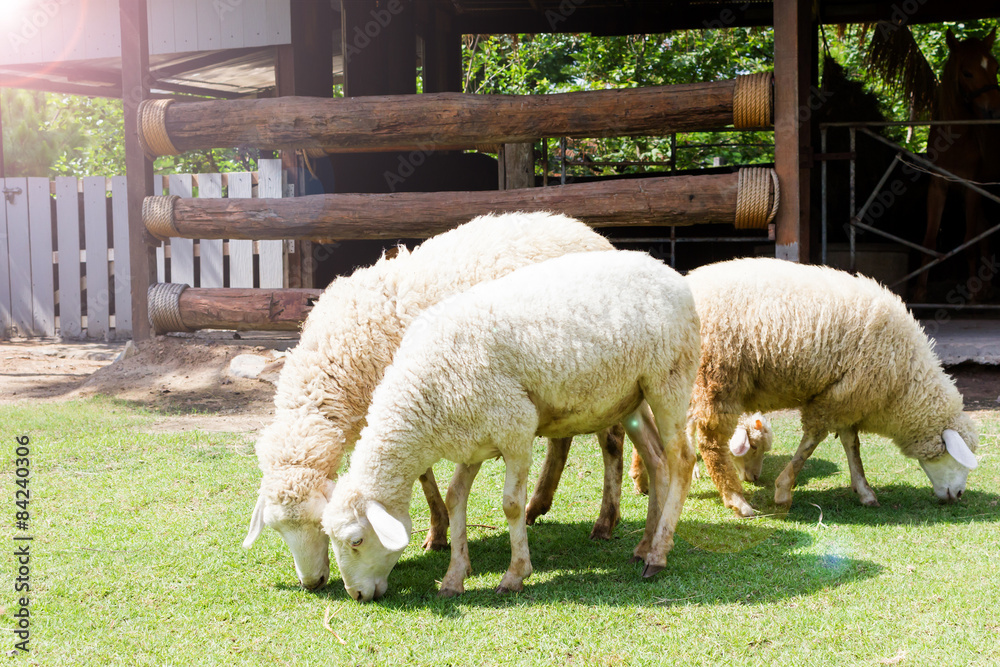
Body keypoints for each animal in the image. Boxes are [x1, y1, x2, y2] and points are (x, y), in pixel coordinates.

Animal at [242, 212, 622, 590]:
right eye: (278, 529)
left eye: (317, 524)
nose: (312, 582)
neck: (342, 356)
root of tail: (583, 229)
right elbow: (426, 476)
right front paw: (439, 530)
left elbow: (424, 474)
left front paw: (439, 532)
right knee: (562, 439)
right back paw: (538, 504)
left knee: (611, 441)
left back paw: (604, 521)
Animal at [321, 250, 701, 601]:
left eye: (356, 540)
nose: (356, 595)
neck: (424, 394)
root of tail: (669, 271)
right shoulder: (472, 438)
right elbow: (455, 497)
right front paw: (454, 576)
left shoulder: (515, 428)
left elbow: (511, 505)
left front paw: (515, 574)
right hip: (633, 396)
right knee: (657, 460)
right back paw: (645, 544)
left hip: (669, 379)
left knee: (682, 459)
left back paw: (657, 555)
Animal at [684, 257, 979, 517]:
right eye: (953, 456)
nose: (959, 494)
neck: (903, 381)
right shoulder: (835, 399)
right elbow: (810, 443)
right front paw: (783, 491)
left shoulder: (848, 398)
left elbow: (852, 445)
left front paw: (864, 491)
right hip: (718, 377)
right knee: (711, 443)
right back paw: (737, 501)